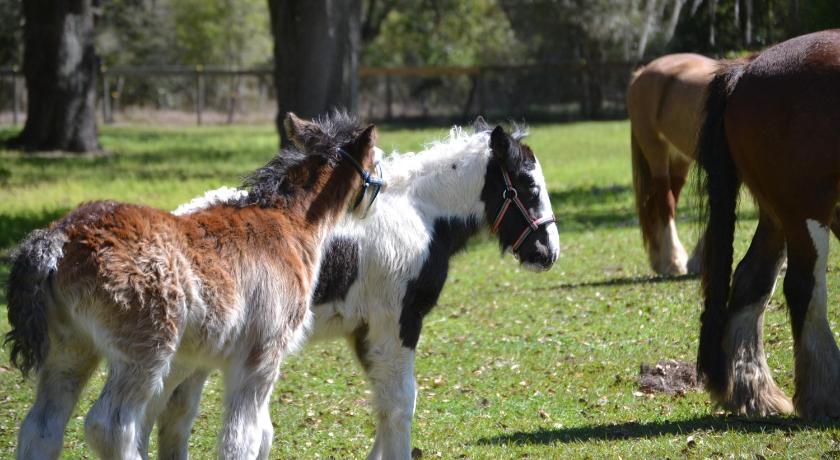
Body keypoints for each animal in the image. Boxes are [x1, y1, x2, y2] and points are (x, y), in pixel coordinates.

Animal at [4, 112, 378, 460]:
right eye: (376, 158)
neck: (289, 223)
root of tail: (60, 235)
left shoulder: (200, 361)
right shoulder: (261, 354)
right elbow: (246, 436)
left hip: (70, 348)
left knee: (41, 426)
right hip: (145, 350)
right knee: (110, 425)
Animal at [160, 120, 560, 458]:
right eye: (528, 186)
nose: (548, 252)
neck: (418, 214)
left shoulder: (364, 331)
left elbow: (385, 401)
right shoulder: (397, 322)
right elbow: (401, 402)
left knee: (175, 418)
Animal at [632, 54, 716, 276]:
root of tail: (641, 72)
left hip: (679, 160)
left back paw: (659, 257)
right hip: (656, 151)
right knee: (665, 202)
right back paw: (672, 260)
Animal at [700, 27, 840, 416]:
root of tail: (747, 69)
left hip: (777, 216)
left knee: (752, 280)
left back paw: (754, 392)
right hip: (805, 211)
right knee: (803, 287)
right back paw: (826, 394)